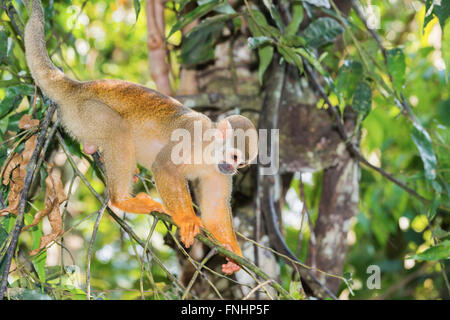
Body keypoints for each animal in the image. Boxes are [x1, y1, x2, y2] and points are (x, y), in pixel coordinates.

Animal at [23, 1, 256, 274]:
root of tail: (77, 88)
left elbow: (214, 212)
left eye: (241, 163)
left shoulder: (218, 172)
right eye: (235, 156)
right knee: (117, 130)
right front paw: (187, 219)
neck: (209, 151)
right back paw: (122, 200)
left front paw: (233, 253)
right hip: (87, 111)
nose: (233, 169)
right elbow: (164, 166)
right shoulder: (192, 133)